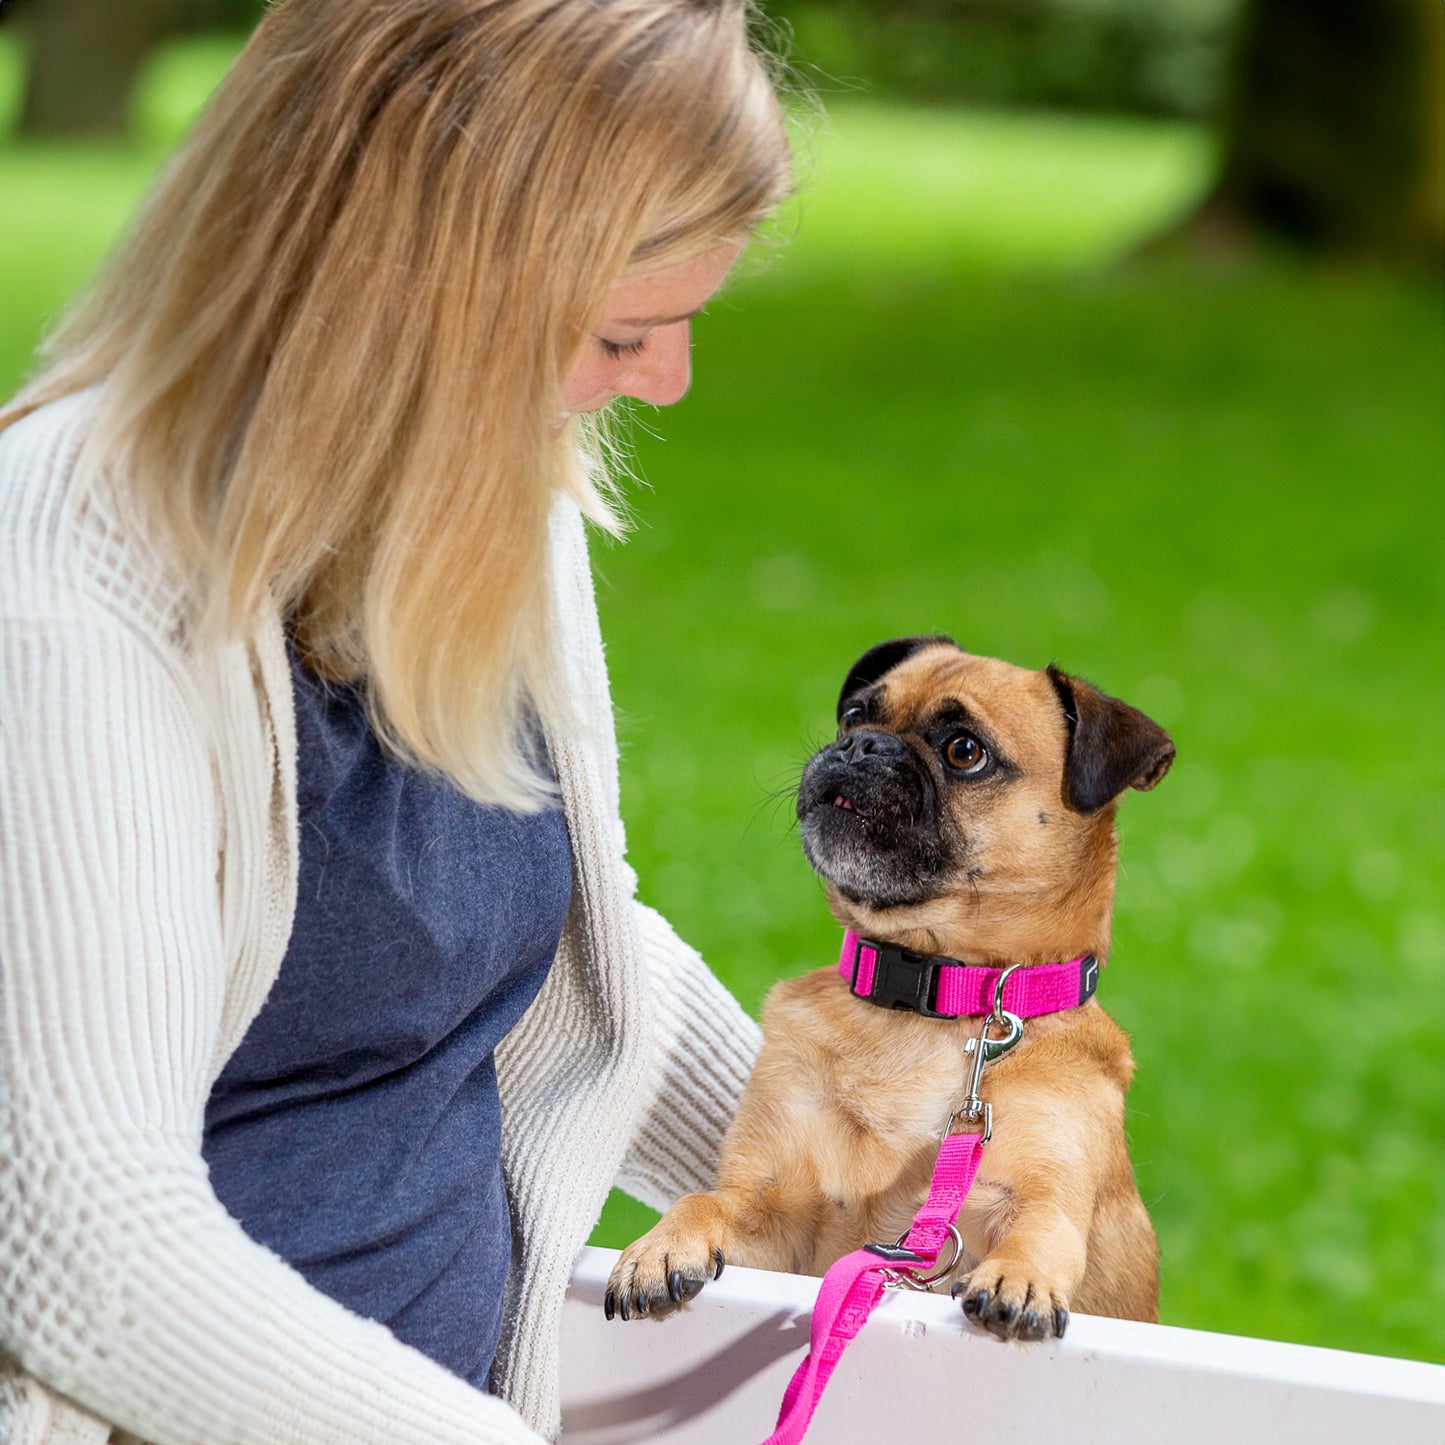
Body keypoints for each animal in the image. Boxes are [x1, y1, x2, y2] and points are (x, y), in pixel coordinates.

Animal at [604, 638, 1167, 1335]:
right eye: (854, 714)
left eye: (964, 751)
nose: (861, 746)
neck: (929, 993)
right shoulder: (770, 1216)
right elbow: (703, 1200)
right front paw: (661, 1246)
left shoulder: (1042, 1194)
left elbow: (1039, 1232)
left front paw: (1020, 1277)